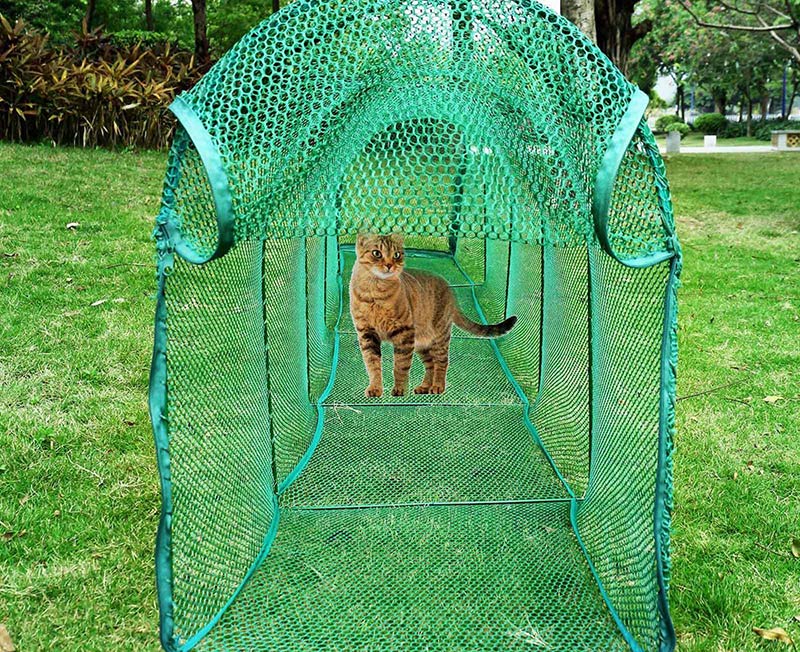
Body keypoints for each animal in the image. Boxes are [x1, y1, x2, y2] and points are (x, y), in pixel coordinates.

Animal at [350, 234, 520, 398]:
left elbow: (400, 365)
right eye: (376, 253)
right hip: (423, 343)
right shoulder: (367, 334)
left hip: (440, 336)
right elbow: (372, 365)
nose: (389, 265)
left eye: (396, 255)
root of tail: (450, 290)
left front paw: (400, 389)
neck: (375, 292)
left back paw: (438, 386)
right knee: (431, 364)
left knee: (442, 362)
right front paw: (375, 388)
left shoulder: (404, 333)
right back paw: (425, 387)